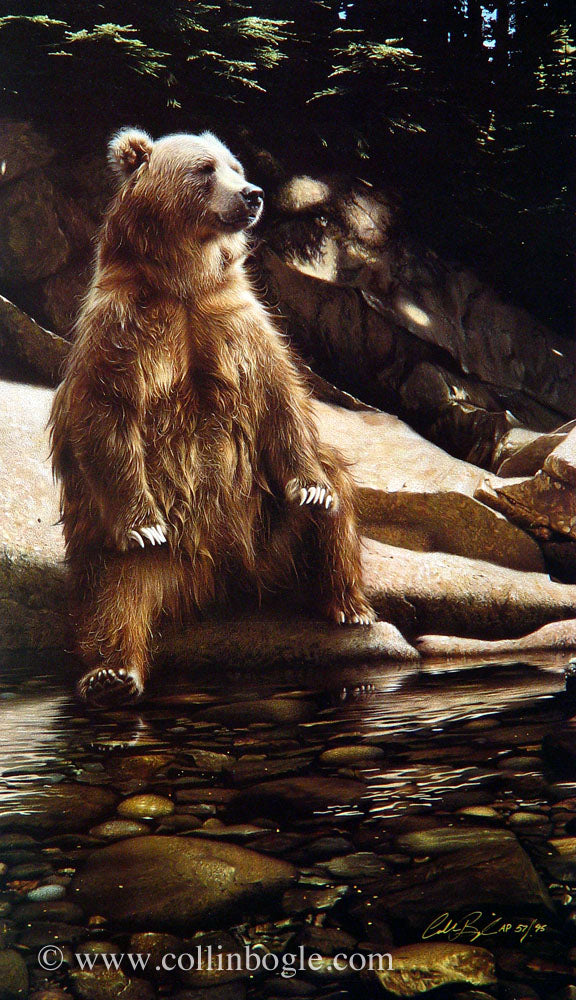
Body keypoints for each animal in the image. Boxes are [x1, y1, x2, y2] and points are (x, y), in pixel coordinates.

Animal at [49, 127, 376, 707]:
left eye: (235, 165)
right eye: (204, 169)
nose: (253, 195)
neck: (185, 277)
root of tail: (224, 575)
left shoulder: (237, 322)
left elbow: (281, 399)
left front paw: (312, 489)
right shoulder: (123, 327)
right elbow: (105, 412)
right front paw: (142, 527)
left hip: (267, 523)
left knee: (335, 500)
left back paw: (348, 602)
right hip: (155, 541)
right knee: (119, 586)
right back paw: (111, 673)